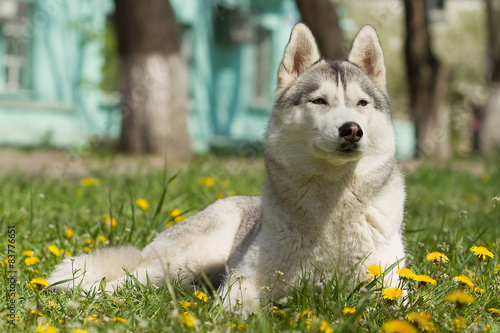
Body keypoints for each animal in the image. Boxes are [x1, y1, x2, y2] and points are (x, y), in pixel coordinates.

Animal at [47, 24, 406, 314]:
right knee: (123, 280)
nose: (352, 130)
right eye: (319, 101)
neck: (333, 206)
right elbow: (234, 306)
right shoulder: (244, 280)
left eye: (362, 104)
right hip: (189, 256)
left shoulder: (390, 286)